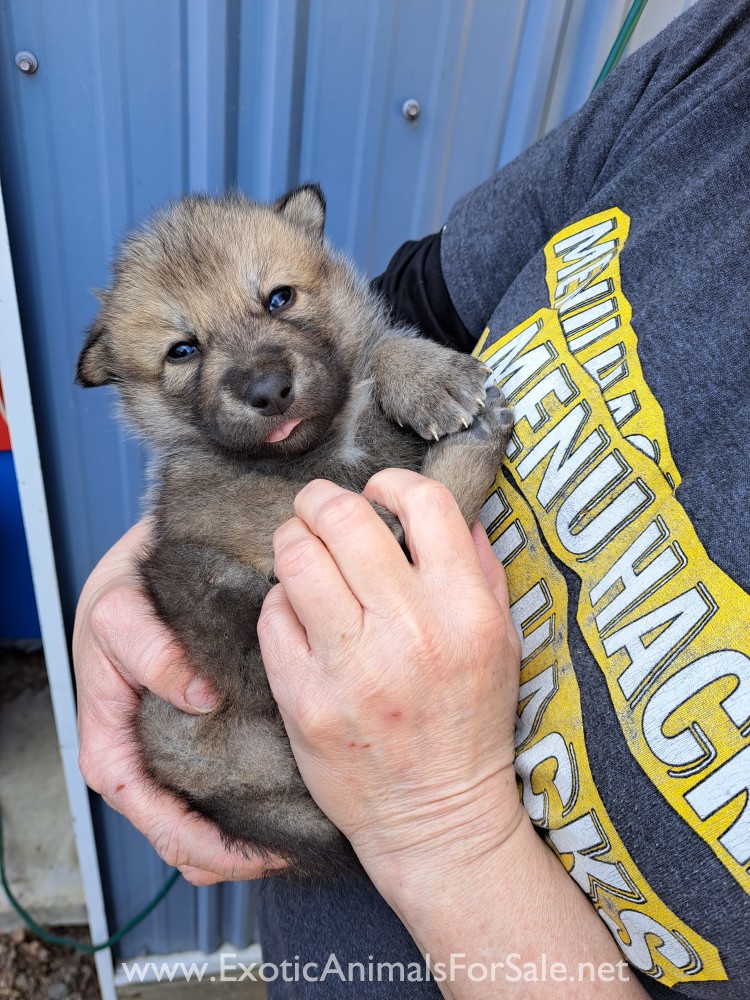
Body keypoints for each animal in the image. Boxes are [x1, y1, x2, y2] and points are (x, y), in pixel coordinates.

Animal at [76, 185, 513, 876]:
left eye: (279, 298)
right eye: (182, 349)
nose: (267, 389)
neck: (320, 448)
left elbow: (376, 346)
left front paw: (427, 375)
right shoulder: (209, 509)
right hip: (195, 584)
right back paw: (468, 452)